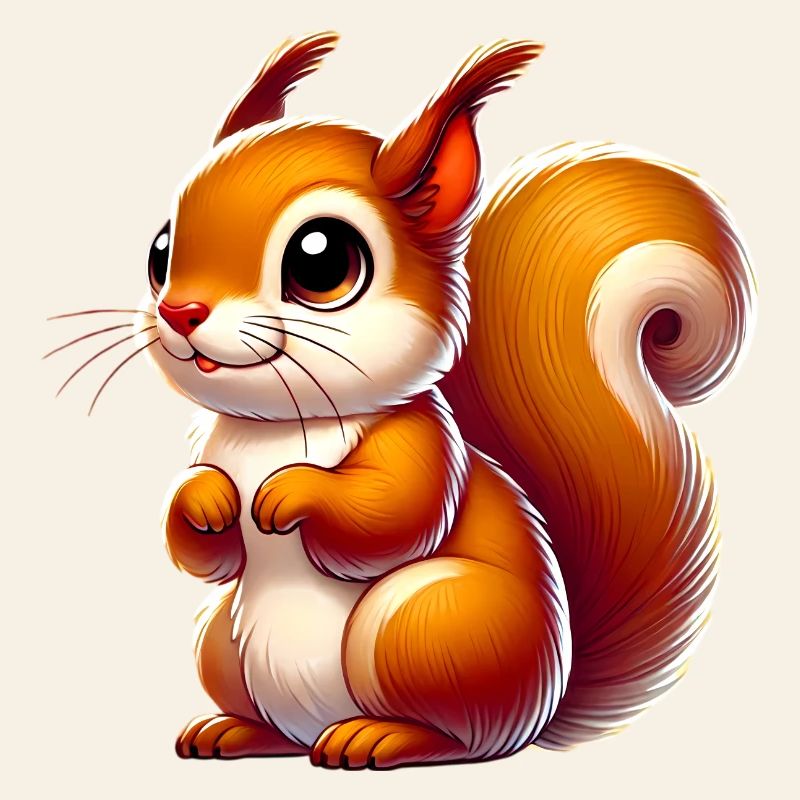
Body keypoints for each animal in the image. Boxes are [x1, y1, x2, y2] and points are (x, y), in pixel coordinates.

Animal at [140, 32, 756, 768]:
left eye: (322, 260)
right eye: (160, 249)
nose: (179, 312)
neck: (282, 426)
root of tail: (538, 709)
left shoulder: (422, 444)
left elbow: (393, 518)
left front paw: (293, 492)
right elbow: (210, 555)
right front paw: (205, 499)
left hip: (429, 627)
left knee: (457, 738)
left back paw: (380, 737)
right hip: (221, 642)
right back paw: (233, 731)